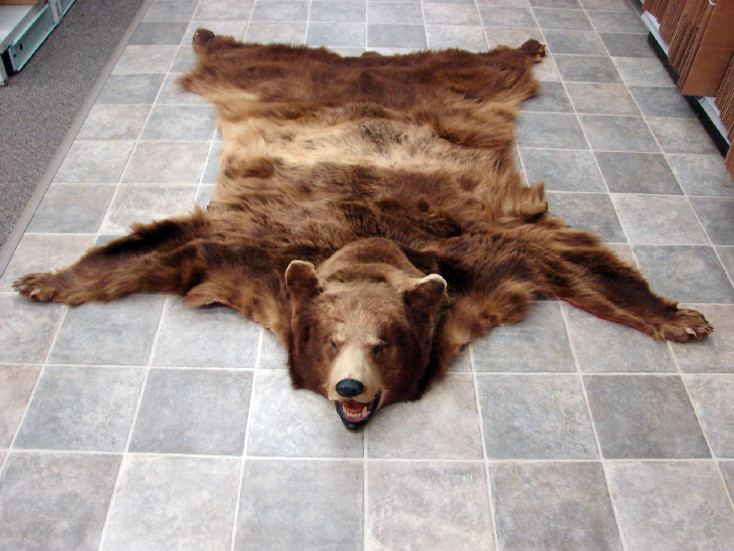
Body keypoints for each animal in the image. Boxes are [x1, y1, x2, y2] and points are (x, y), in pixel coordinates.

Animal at [14, 29, 713, 430]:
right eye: (331, 341)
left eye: (383, 344)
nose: (350, 386)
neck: (370, 246)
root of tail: (365, 66)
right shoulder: (253, 253)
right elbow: (165, 244)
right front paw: (46, 279)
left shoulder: (485, 256)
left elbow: (571, 259)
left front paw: (677, 316)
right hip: (271, 81)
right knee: (244, 58)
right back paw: (209, 31)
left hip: (459, 91)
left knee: (484, 67)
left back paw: (524, 48)